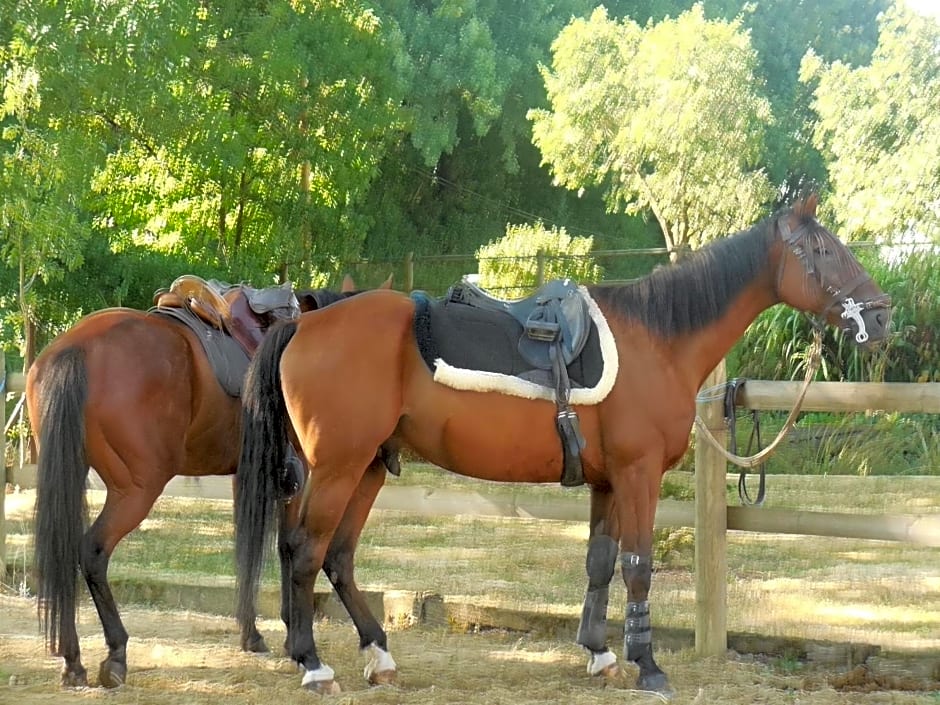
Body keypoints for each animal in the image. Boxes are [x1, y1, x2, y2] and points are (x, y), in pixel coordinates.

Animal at [25, 274, 388, 688]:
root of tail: (77, 347)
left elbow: (250, 548)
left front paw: (254, 635)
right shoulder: (299, 477)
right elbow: (285, 547)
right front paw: (294, 641)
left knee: (63, 552)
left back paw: (72, 661)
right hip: (135, 490)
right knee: (92, 552)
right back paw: (115, 653)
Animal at [233, 195, 888, 696]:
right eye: (824, 251)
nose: (880, 318)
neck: (659, 339)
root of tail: (303, 323)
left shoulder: (607, 481)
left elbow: (599, 562)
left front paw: (600, 654)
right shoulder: (639, 474)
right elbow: (638, 567)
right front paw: (648, 667)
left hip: (366, 466)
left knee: (336, 556)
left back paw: (375, 655)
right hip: (338, 467)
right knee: (304, 550)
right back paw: (314, 664)